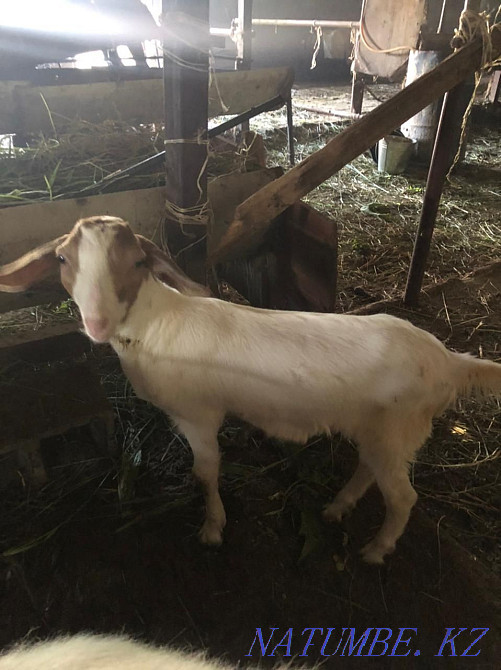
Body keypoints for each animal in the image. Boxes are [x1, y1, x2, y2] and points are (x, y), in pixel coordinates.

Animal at [1, 215, 500, 564]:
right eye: (63, 260)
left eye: (138, 263)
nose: (98, 323)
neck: (154, 323)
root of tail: (449, 360)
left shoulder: (198, 415)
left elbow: (206, 472)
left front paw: (212, 528)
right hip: (379, 430)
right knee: (369, 469)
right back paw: (336, 508)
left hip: (399, 428)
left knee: (402, 497)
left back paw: (376, 550)